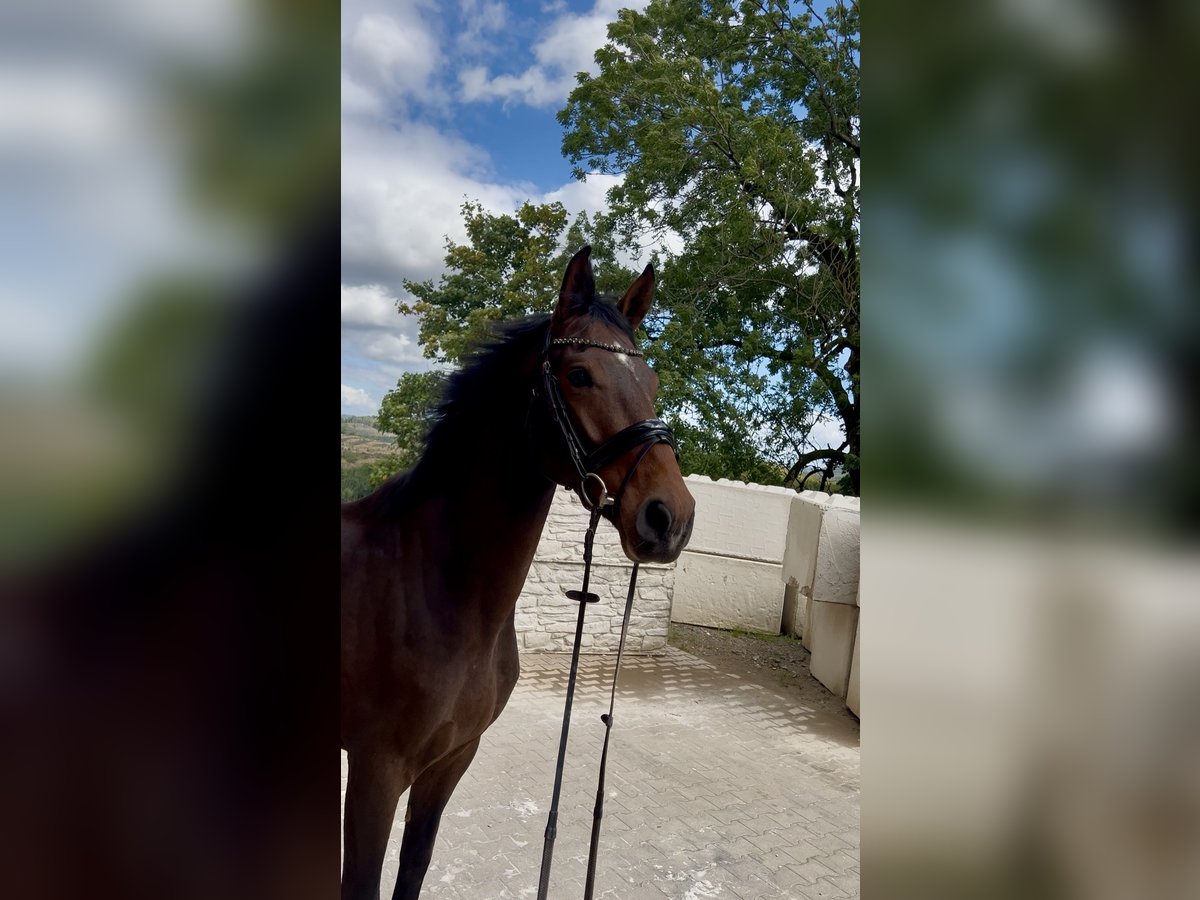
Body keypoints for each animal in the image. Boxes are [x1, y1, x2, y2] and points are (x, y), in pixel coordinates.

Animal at [340, 246, 696, 899]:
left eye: (653, 382)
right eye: (579, 375)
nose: (671, 518)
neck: (433, 588)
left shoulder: (451, 762)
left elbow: (415, 865)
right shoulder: (376, 772)